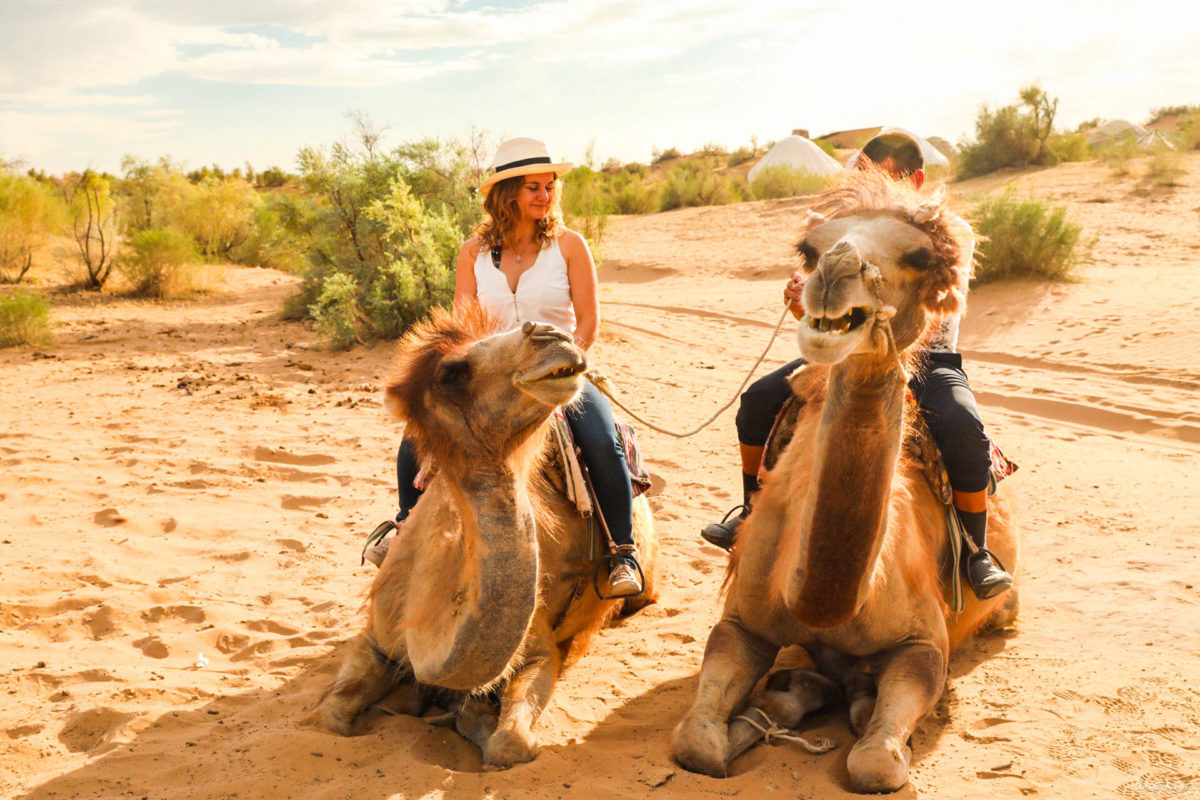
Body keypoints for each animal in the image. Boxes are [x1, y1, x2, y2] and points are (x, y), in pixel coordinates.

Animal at [300, 303, 657, 767]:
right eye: (451, 372)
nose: (552, 335)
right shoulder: (376, 635)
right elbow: (330, 715)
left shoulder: (541, 647)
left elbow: (511, 743)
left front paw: (475, 716)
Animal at [672, 170, 1017, 796]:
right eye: (807, 250)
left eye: (920, 256)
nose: (835, 270)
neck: (825, 603)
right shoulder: (739, 622)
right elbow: (697, 743)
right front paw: (761, 714)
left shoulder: (926, 646)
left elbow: (875, 761)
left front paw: (852, 707)